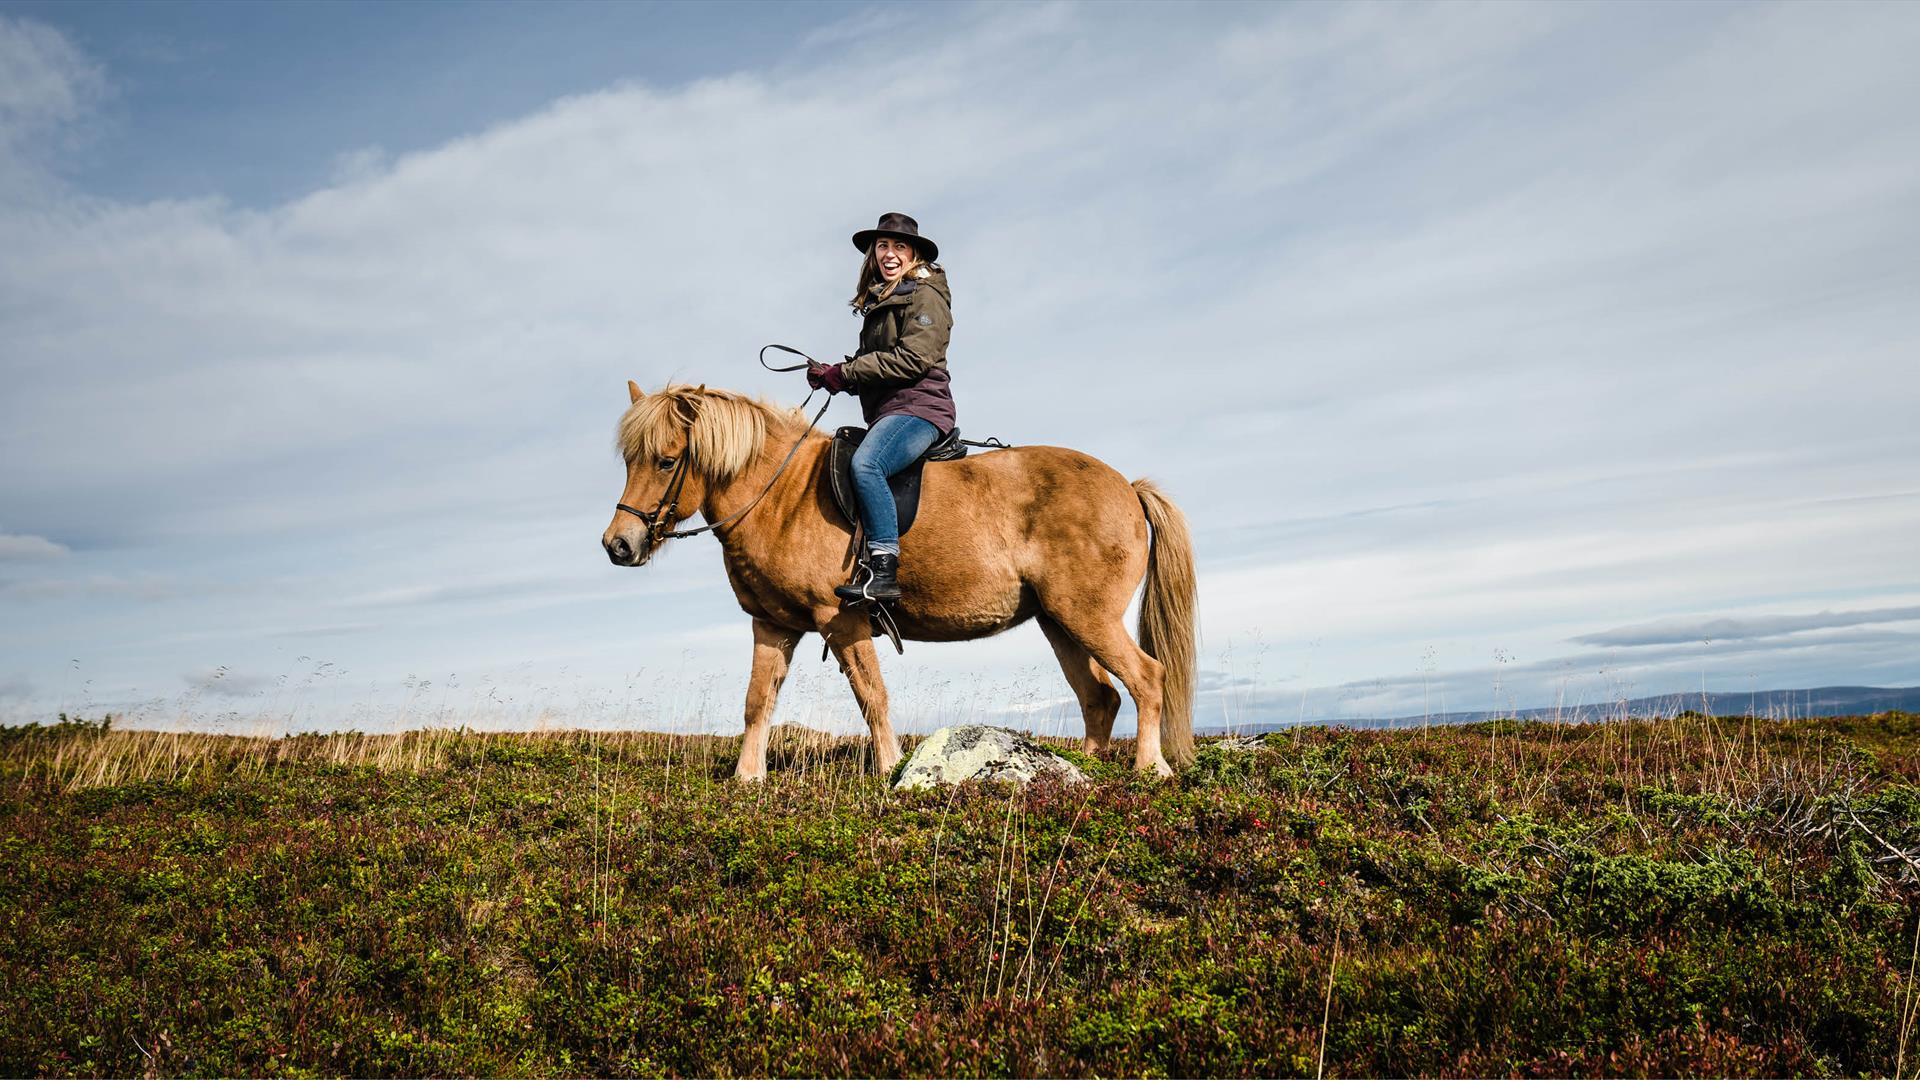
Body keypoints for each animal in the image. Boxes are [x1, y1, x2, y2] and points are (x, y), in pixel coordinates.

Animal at [599, 382, 1198, 776]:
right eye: (627, 460)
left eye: (666, 460)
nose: (618, 545)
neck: (780, 495)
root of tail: (1128, 488)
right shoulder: (772, 625)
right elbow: (756, 701)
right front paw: (749, 778)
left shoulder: (841, 620)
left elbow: (872, 696)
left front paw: (890, 771)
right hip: (1059, 622)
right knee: (1100, 698)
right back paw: (1084, 772)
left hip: (1087, 616)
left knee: (1147, 678)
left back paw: (1150, 768)